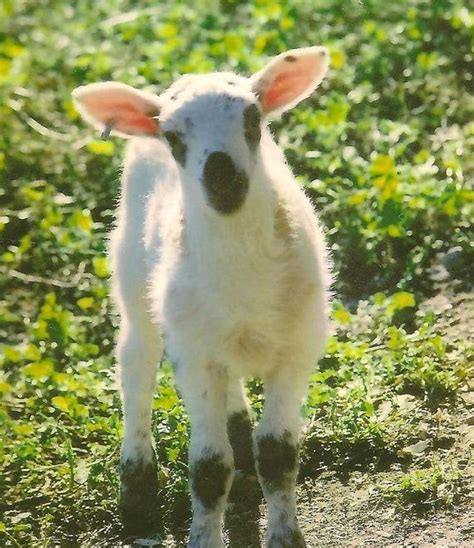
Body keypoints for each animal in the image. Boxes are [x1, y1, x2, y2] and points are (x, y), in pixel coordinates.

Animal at [72, 45, 334, 544]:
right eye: (173, 137)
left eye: (253, 119)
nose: (223, 181)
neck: (243, 280)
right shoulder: (194, 359)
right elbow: (209, 469)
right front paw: (204, 534)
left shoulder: (297, 348)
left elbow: (278, 455)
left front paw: (284, 534)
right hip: (134, 275)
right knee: (135, 367)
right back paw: (137, 489)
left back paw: (239, 435)